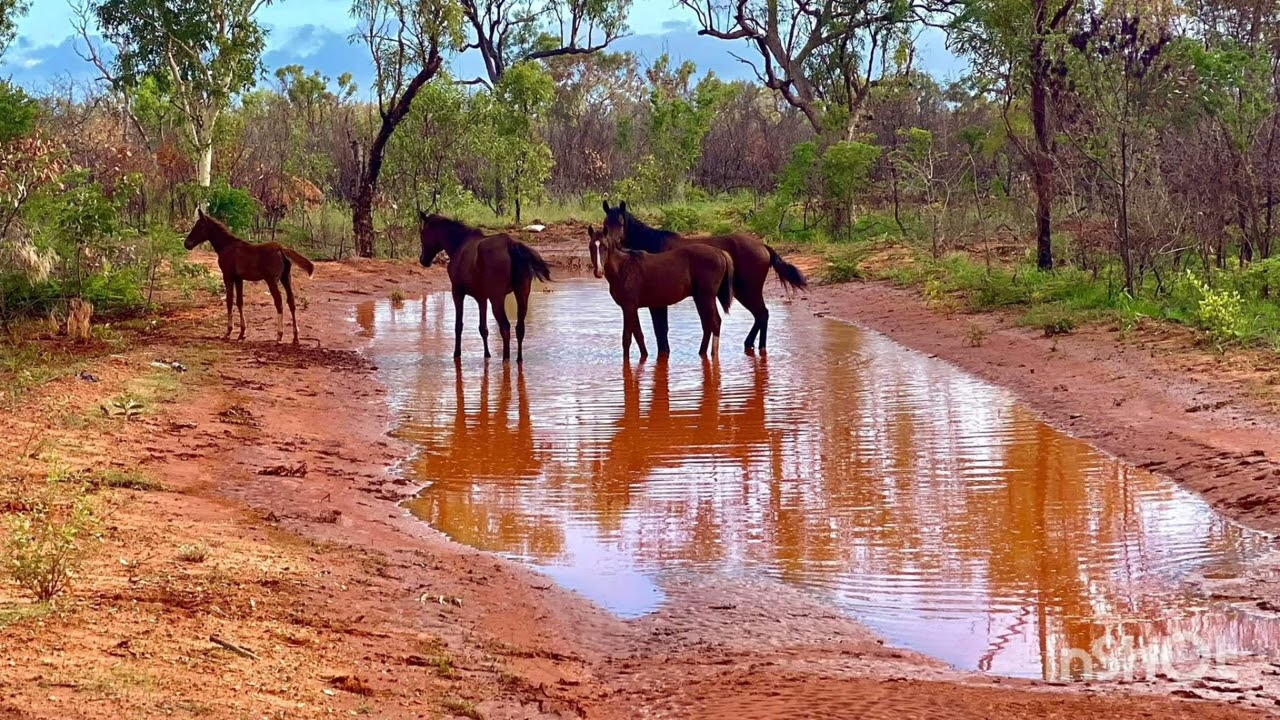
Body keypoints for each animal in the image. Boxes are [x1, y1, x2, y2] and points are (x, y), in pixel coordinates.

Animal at [183, 208, 314, 344]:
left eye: (199, 226)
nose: (186, 244)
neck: (227, 246)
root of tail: (281, 249)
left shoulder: (227, 276)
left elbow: (229, 301)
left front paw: (228, 332)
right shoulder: (239, 278)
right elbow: (240, 302)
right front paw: (242, 333)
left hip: (272, 280)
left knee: (279, 302)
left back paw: (279, 335)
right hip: (286, 278)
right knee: (291, 301)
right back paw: (295, 337)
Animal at [418, 212, 552, 363]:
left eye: (422, 233)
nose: (423, 260)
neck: (458, 244)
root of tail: (511, 244)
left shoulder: (457, 292)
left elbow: (459, 326)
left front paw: (457, 353)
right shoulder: (481, 297)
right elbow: (483, 329)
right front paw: (487, 354)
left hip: (497, 298)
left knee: (505, 328)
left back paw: (506, 359)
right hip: (522, 294)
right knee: (519, 328)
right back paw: (519, 359)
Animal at [587, 224, 733, 359]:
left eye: (605, 247)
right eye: (591, 247)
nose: (598, 272)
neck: (624, 268)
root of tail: (720, 252)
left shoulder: (629, 307)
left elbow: (627, 339)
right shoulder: (630, 308)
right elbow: (638, 335)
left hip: (706, 297)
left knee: (715, 322)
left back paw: (713, 354)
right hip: (700, 298)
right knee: (707, 324)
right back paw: (702, 352)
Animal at [601, 201, 807, 353]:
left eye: (620, 223)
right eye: (605, 224)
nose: (612, 243)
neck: (653, 245)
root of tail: (763, 247)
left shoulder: (658, 302)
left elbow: (661, 331)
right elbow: (661, 331)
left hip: (748, 290)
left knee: (762, 314)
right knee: (760, 315)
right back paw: (750, 345)